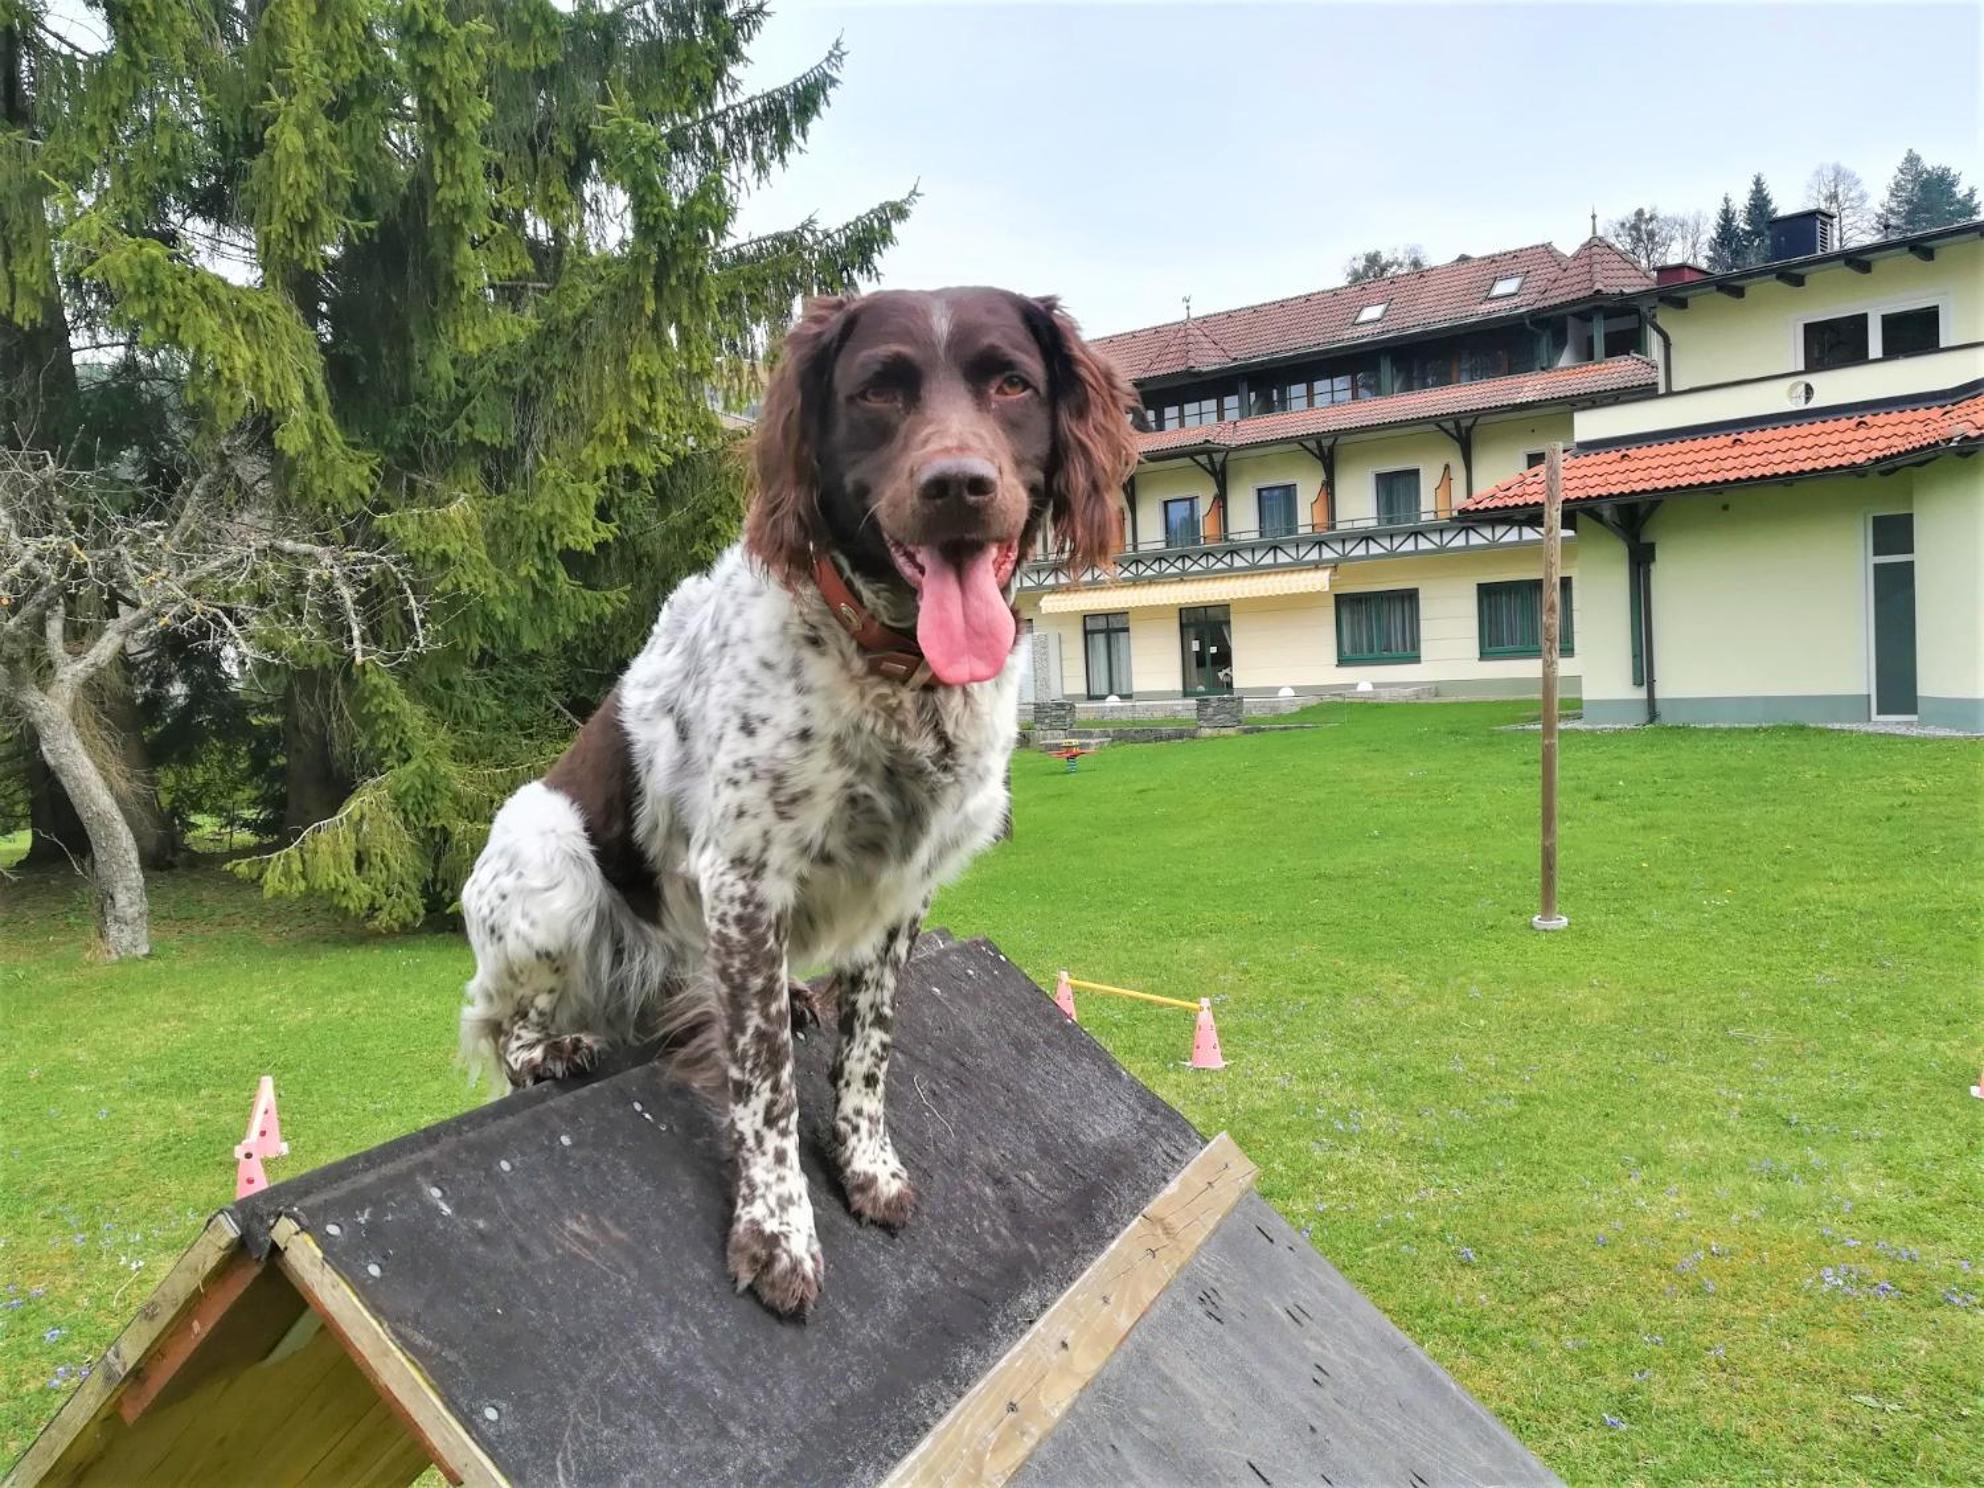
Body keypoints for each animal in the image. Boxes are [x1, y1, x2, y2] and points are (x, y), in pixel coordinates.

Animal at [460, 291, 1134, 1317]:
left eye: (1012, 383)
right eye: (878, 390)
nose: (958, 485)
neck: (896, 669)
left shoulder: (902, 893)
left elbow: (870, 1049)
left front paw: (866, 1164)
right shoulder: (743, 879)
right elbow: (765, 1081)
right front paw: (778, 1231)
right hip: (550, 859)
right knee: (502, 1020)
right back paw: (554, 1047)